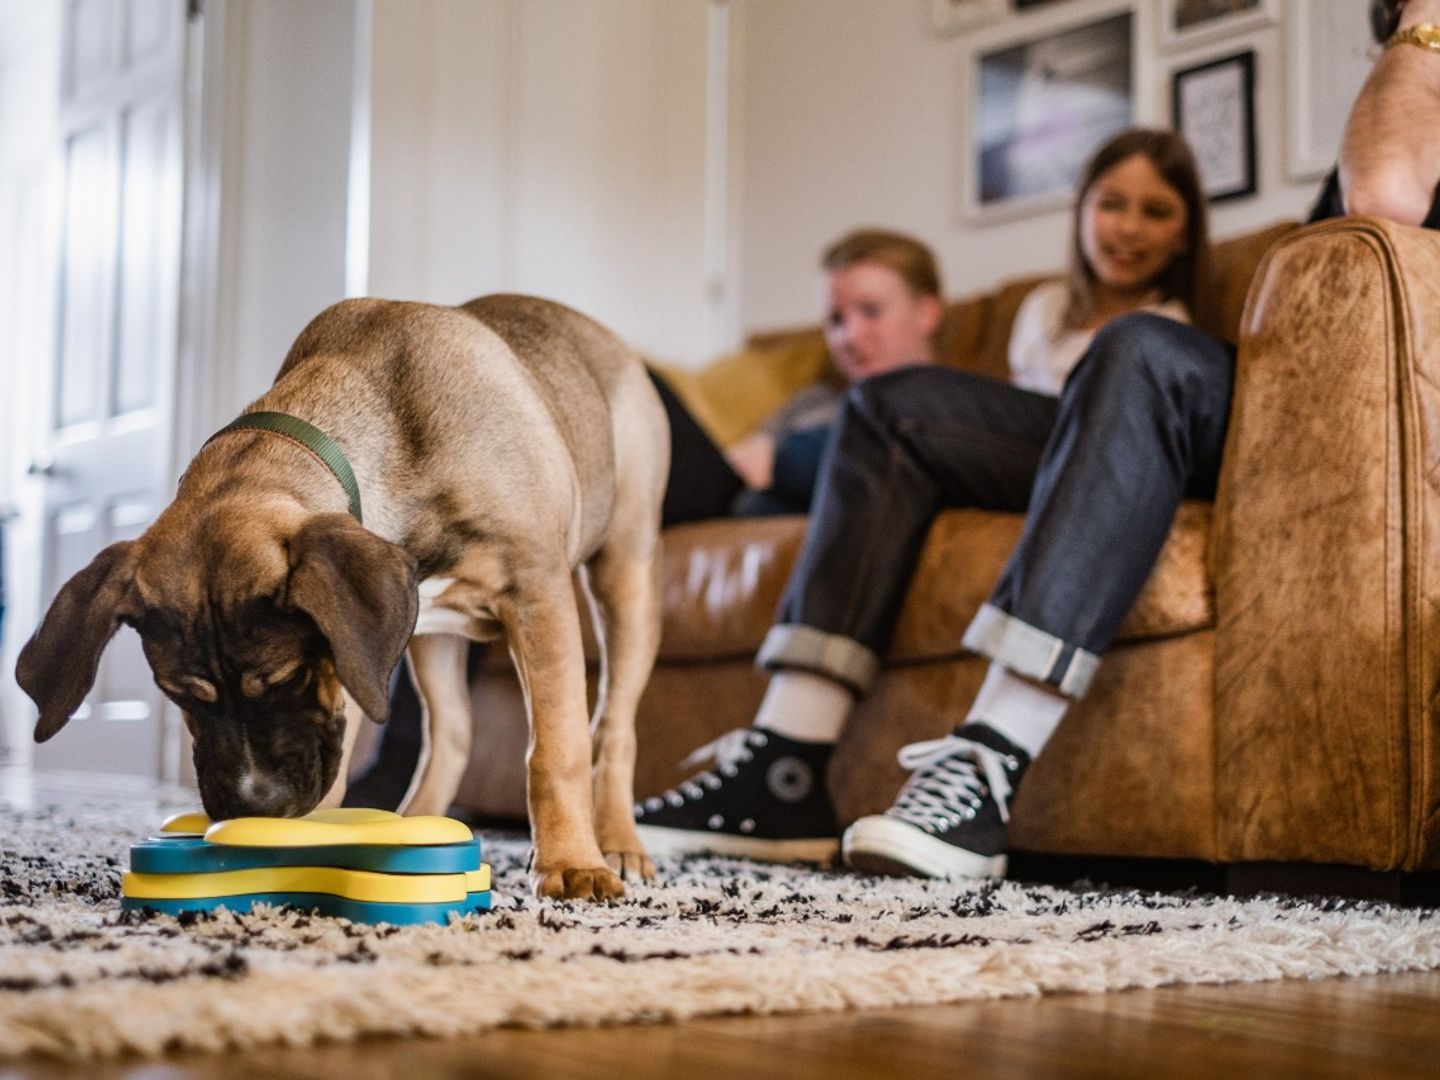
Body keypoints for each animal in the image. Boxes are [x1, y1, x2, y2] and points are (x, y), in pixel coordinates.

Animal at [16, 292, 668, 898]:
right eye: (180, 695)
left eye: (283, 678)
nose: (255, 806)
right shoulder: (355, 656)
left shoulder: (537, 593)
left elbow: (557, 750)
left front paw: (572, 863)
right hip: (430, 635)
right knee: (454, 729)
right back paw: (415, 823)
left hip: (625, 578)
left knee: (614, 728)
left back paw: (618, 845)